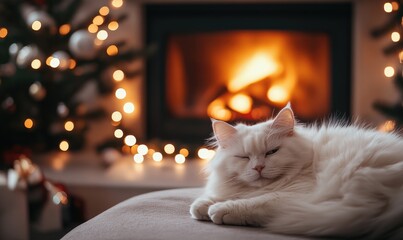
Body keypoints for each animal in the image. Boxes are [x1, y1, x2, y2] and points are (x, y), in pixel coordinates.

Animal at [189, 104, 403, 239]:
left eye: (272, 152)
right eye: (244, 157)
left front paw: (218, 209)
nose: (258, 167)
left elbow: (252, 202)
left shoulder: (293, 195)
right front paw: (202, 206)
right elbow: (221, 197)